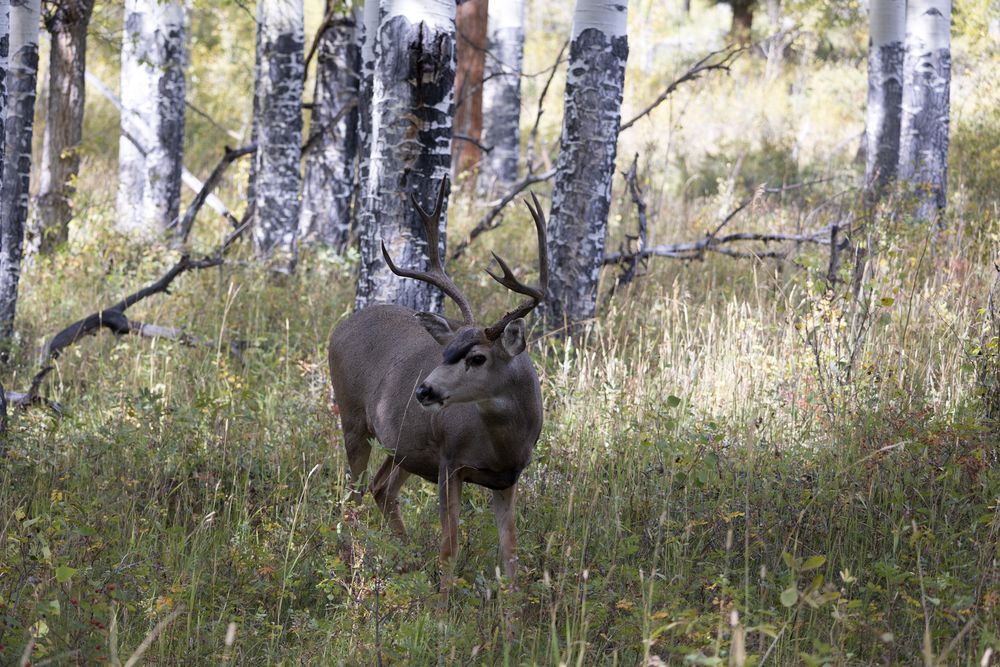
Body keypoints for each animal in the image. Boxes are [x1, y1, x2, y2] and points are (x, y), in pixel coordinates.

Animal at [328, 180, 547, 592]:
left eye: (477, 358)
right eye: (446, 351)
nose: (423, 390)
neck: (501, 443)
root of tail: (342, 325)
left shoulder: (508, 477)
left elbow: (510, 552)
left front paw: (513, 608)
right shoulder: (451, 461)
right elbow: (450, 545)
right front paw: (443, 604)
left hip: (405, 445)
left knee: (381, 488)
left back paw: (407, 560)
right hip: (352, 420)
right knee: (351, 498)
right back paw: (353, 572)